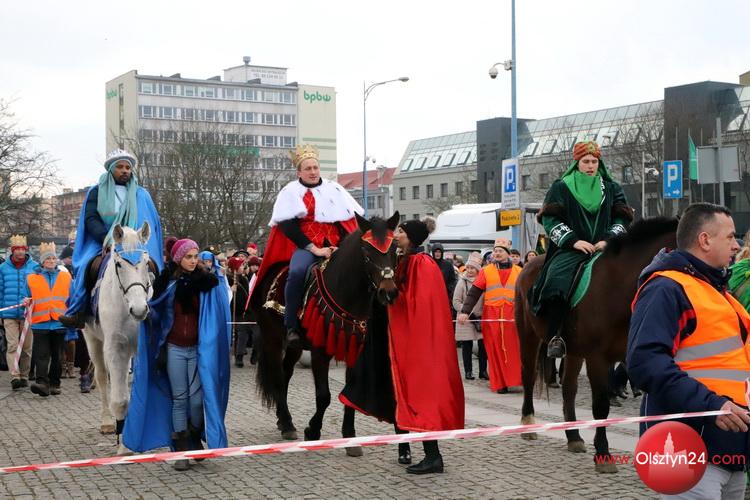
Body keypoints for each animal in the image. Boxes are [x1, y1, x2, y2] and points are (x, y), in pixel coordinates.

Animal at [82, 223, 155, 437]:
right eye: (119, 264)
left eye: (146, 263)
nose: (139, 309)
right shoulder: (116, 348)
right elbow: (120, 400)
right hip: (92, 340)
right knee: (101, 377)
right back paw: (107, 421)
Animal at [251, 212, 400, 454]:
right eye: (367, 252)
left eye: (394, 248)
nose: (389, 293)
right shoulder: (320, 351)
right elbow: (324, 396)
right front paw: (312, 431)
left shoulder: (353, 350)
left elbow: (348, 393)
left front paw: (350, 437)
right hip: (272, 338)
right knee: (278, 376)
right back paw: (288, 424)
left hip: (295, 345)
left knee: (286, 372)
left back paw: (283, 420)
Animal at [514, 217, 678, 473]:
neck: (616, 286)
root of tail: (529, 264)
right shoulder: (597, 358)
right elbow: (601, 405)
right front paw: (603, 454)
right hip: (528, 335)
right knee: (529, 376)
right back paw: (529, 423)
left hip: (572, 350)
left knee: (568, 389)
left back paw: (573, 437)